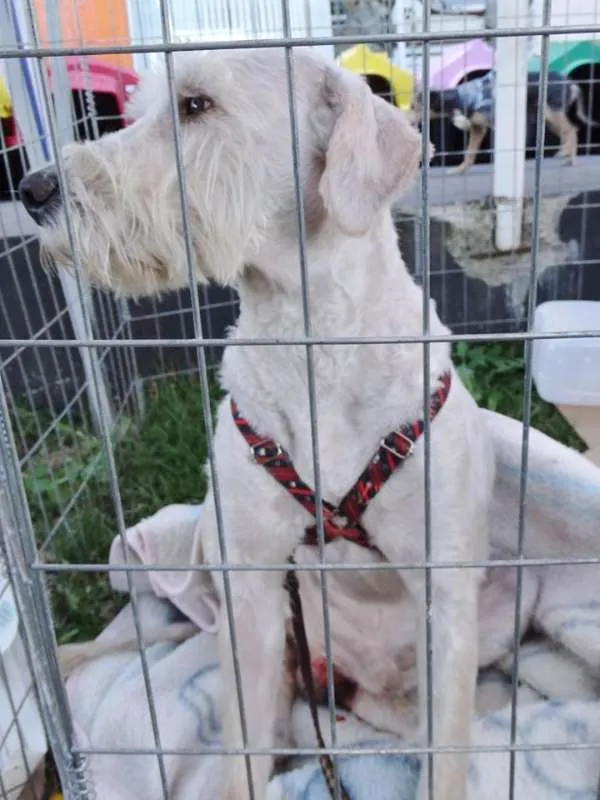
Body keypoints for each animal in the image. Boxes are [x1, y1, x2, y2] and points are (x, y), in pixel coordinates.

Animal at [19, 48, 495, 800]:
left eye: (196, 105)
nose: (33, 188)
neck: (309, 338)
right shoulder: (250, 587)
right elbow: (241, 740)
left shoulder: (446, 593)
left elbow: (445, 747)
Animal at [411, 69, 597, 175]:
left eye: (413, 106)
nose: (408, 120)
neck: (461, 98)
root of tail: (571, 83)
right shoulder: (478, 128)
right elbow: (470, 152)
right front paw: (460, 170)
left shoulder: (493, 124)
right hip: (548, 118)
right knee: (568, 132)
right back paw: (568, 158)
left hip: (551, 112)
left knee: (571, 130)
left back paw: (565, 153)